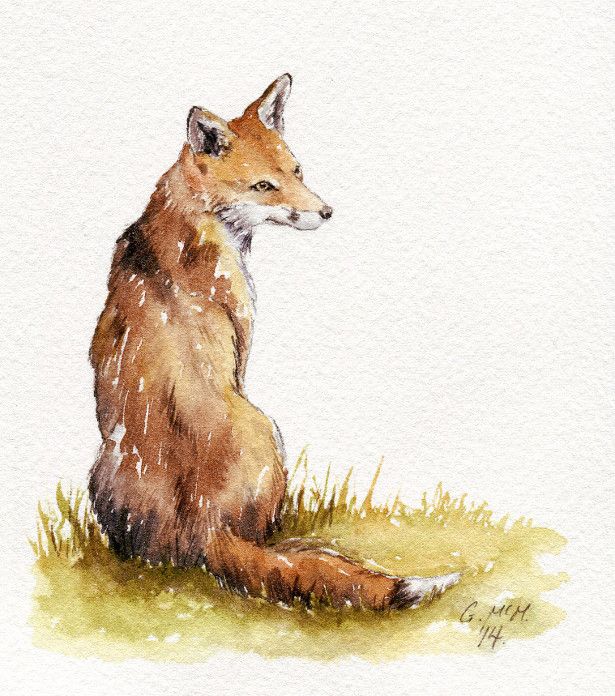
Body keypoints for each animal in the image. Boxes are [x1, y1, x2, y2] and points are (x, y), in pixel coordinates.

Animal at [89, 74, 460, 610]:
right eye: (263, 186)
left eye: (297, 169)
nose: (326, 212)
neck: (195, 217)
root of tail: (201, 530)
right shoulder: (242, 341)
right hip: (269, 430)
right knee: (264, 543)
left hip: (104, 467)